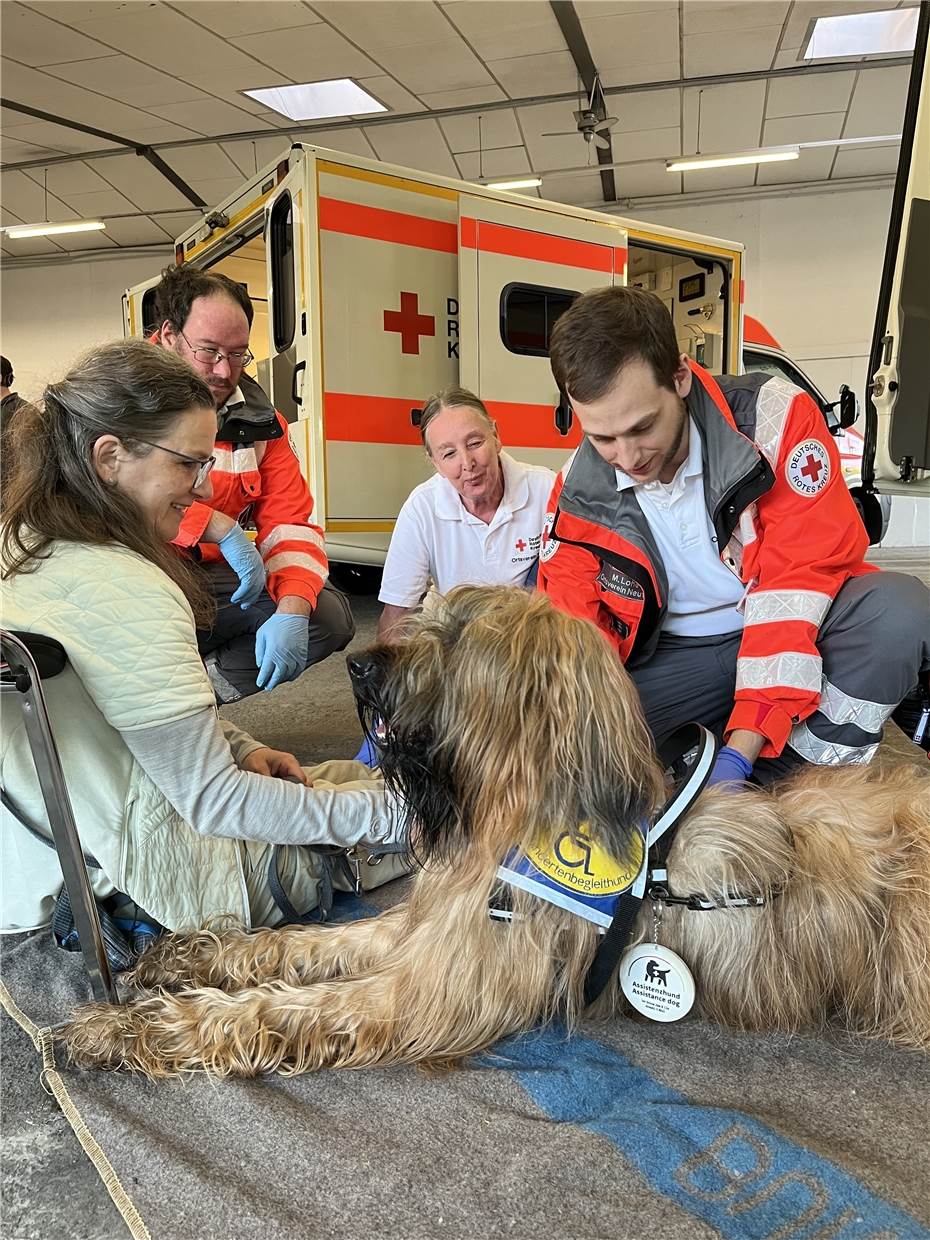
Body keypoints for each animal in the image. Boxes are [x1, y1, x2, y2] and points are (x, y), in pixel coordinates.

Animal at [62, 585, 927, 1071]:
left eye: (458, 638)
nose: (359, 668)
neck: (508, 811)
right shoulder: (423, 926)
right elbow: (300, 946)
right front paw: (188, 956)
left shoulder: (432, 989)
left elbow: (280, 1008)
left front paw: (130, 1028)